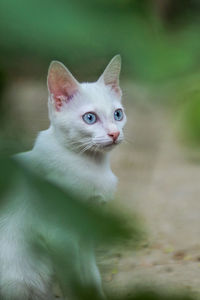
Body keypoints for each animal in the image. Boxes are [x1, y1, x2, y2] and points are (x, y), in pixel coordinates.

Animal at [0, 55, 126, 298]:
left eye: (118, 114)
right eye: (90, 118)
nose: (115, 133)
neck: (92, 167)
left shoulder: (86, 231)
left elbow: (91, 275)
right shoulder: (59, 237)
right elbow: (73, 279)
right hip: (18, 277)